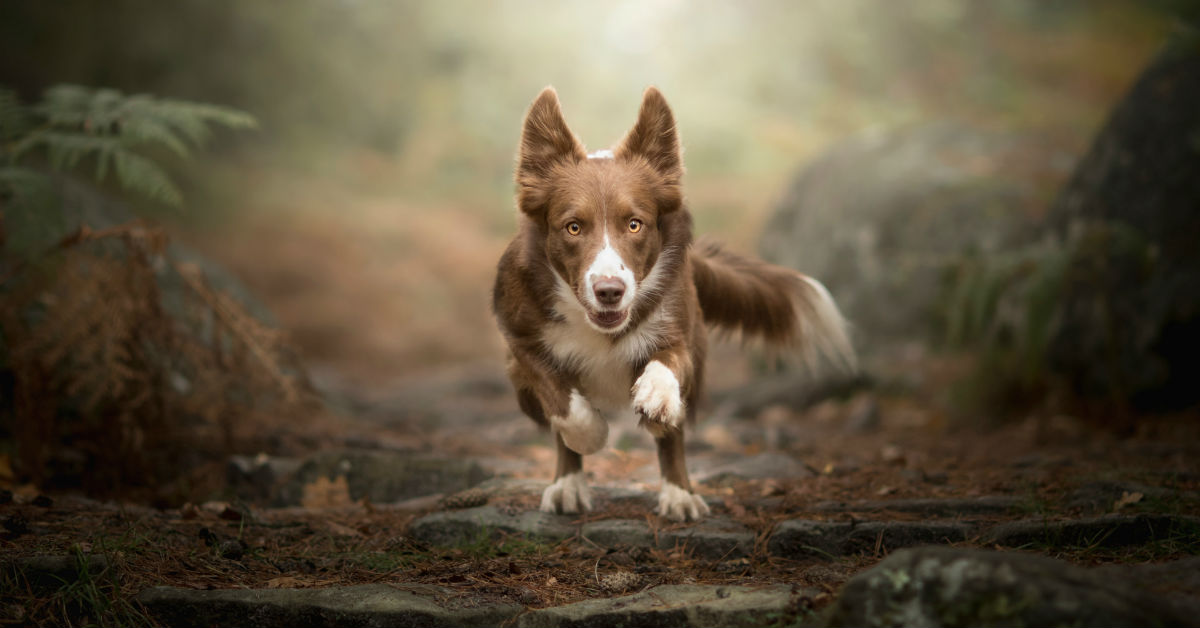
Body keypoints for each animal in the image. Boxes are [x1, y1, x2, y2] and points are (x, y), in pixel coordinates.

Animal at [492, 87, 859, 521]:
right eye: (573, 227)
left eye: (634, 224)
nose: (610, 291)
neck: (600, 329)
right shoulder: (520, 341)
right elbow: (561, 400)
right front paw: (591, 433)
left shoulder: (680, 331)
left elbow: (668, 363)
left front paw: (657, 395)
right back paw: (569, 485)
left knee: (673, 437)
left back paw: (678, 492)